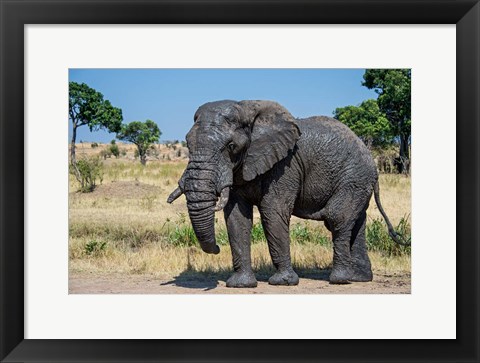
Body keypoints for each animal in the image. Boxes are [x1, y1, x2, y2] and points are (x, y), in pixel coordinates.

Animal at [167, 100, 406, 288]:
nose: (216, 248)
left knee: (337, 217)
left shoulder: (285, 165)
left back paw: (340, 279)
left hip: (354, 177)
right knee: (357, 222)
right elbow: (236, 217)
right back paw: (359, 278)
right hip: (359, 182)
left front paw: (282, 282)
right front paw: (240, 285)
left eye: (231, 146)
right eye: (187, 142)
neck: (247, 108)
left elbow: (272, 212)